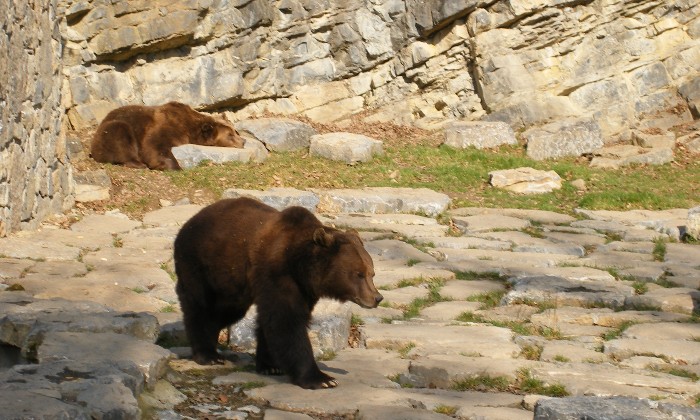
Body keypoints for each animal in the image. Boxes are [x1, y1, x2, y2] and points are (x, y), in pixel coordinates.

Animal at [90, 101, 245, 171]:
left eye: (235, 131)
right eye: (230, 135)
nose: (243, 141)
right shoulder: (168, 126)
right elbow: (155, 145)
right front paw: (175, 167)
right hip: (113, 128)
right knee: (120, 134)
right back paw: (138, 163)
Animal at [174, 199, 382, 388]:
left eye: (372, 273)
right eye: (358, 274)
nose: (377, 298)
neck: (300, 265)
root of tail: (189, 221)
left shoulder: (303, 289)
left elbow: (273, 322)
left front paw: (270, 366)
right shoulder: (278, 273)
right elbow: (287, 322)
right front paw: (322, 379)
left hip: (232, 282)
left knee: (225, 310)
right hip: (200, 263)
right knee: (201, 306)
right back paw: (207, 355)